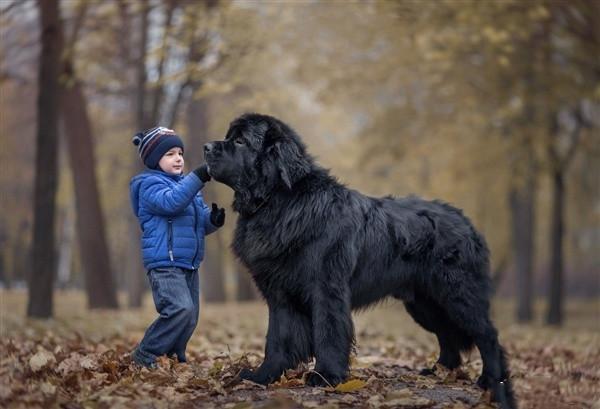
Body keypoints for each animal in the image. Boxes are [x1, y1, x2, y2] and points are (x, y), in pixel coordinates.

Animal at [205, 113, 516, 406]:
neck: (281, 202)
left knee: (487, 334)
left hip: (457, 293)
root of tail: (465, 220)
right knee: (447, 334)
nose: (206, 147)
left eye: (240, 141)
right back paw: (439, 371)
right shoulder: (279, 294)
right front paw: (262, 376)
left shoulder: (326, 289)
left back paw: (491, 380)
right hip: (425, 303)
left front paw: (325, 376)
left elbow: (328, 332)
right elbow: (277, 338)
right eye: (229, 137)